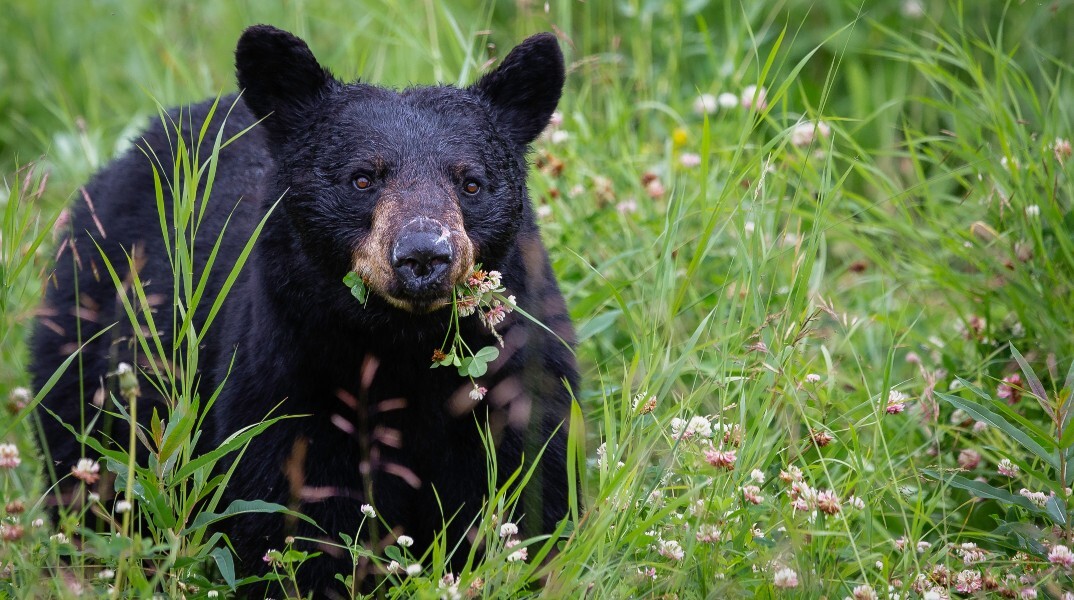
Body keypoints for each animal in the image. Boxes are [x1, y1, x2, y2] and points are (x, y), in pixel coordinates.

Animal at [29, 22, 575, 596]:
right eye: (363, 178)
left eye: (470, 182)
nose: (423, 254)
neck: (402, 348)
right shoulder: (288, 378)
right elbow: (293, 515)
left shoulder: (516, 378)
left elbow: (528, 492)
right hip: (88, 335)